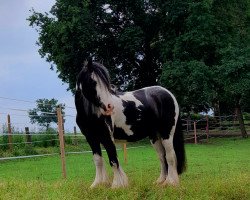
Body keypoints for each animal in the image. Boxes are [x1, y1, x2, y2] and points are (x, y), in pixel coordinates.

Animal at [74, 58, 186, 188]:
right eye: (92, 82)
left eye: (106, 84)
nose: (109, 107)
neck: (90, 112)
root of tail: (168, 94)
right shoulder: (91, 138)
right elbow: (98, 160)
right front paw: (97, 184)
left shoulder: (107, 137)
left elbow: (113, 159)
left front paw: (117, 185)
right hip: (154, 136)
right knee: (162, 157)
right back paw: (160, 181)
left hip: (166, 133)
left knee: (170, 156)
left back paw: (171, 182)